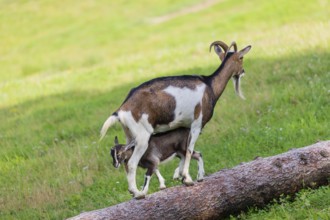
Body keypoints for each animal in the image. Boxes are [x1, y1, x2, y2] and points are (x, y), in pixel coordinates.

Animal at [100, 40, 250, 199]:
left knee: (127, 161)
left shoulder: (185, 127)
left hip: (129, 135)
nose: (243, 71)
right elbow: (189, 150)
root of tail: (121, 110)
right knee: (132, 163)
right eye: (241, 58)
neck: (209, 86)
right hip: (142, 137)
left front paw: (181, 175)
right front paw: (187, 178)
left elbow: (183, 152)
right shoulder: (196, 124)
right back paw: (138, 193)